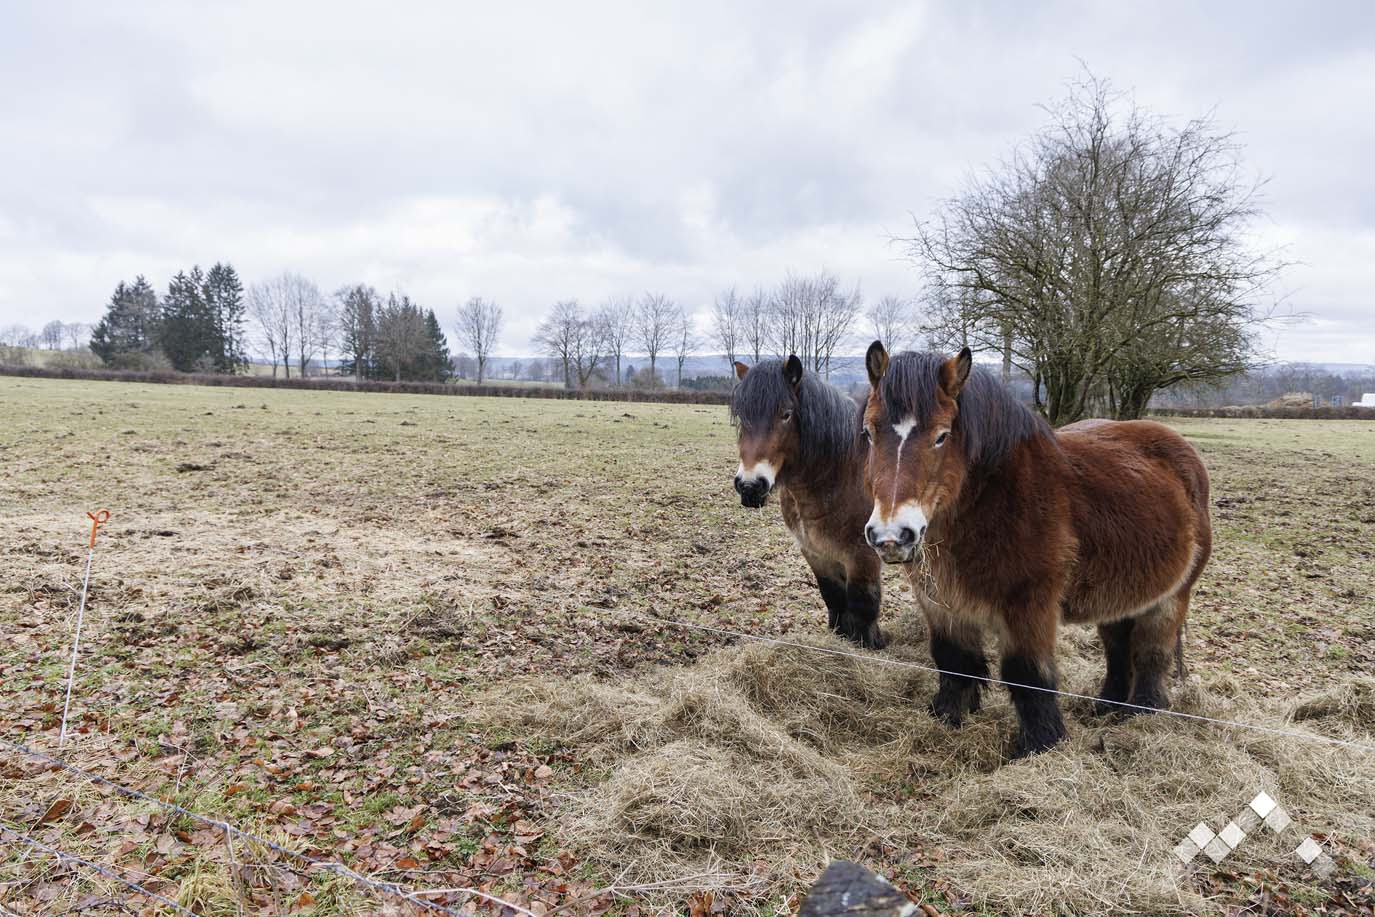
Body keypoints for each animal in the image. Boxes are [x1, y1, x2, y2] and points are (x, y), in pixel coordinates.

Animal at [726, 354, 885, 648]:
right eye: (742, 417)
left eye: (786, 414)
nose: (750, 486)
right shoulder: (815, 552)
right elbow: (834, 599)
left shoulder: (863, 558)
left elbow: (863, 606)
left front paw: (869, 646)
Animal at [863, 340, 1210, 758]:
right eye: (868, 433)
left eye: (941, 436)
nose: (892, 536)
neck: (993, 501)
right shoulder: (941, 602)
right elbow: (953, 661)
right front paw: (946, 718)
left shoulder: (1029, 605)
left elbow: (1028, 675)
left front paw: (1041, 746)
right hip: (1121, 596)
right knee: (1118, 648)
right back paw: (1106, 708)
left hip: (1173, 596)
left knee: (1151, 653)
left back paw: (1140, 715)